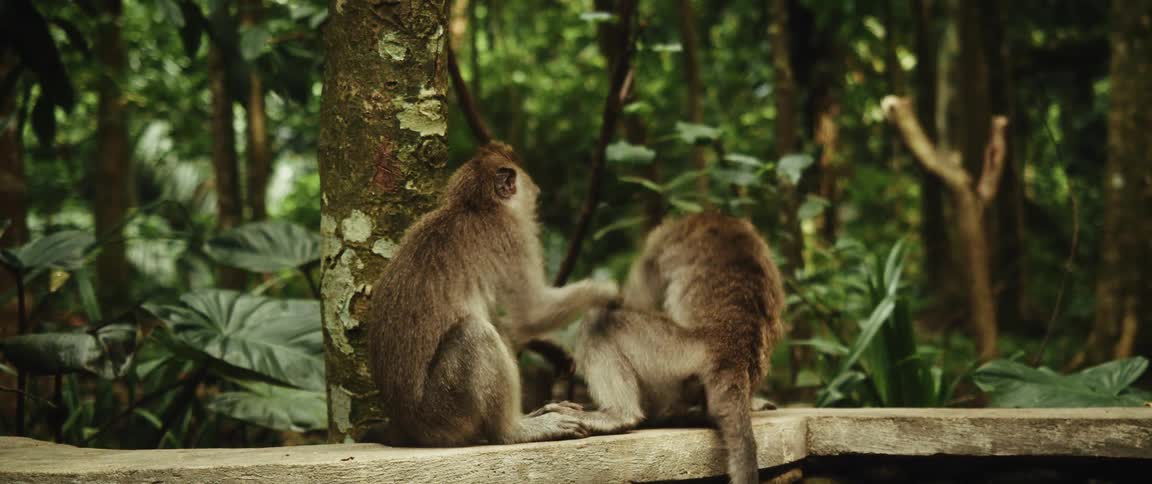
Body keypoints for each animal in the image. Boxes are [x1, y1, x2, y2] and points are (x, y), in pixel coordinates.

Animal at [366, 142, 620, 447]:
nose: (536, 190)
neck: (474, 207)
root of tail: (406, 428)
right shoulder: (512, 236)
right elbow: (532, 313)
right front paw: (609, 291)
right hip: (444, 412)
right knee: (475, 333)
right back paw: (513, 430)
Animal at [572, 213, 785, 484]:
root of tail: (731, 351)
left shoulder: (660, 241)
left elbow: (633, 299)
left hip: (674, 356)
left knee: (600, 322)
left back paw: (620, 415)